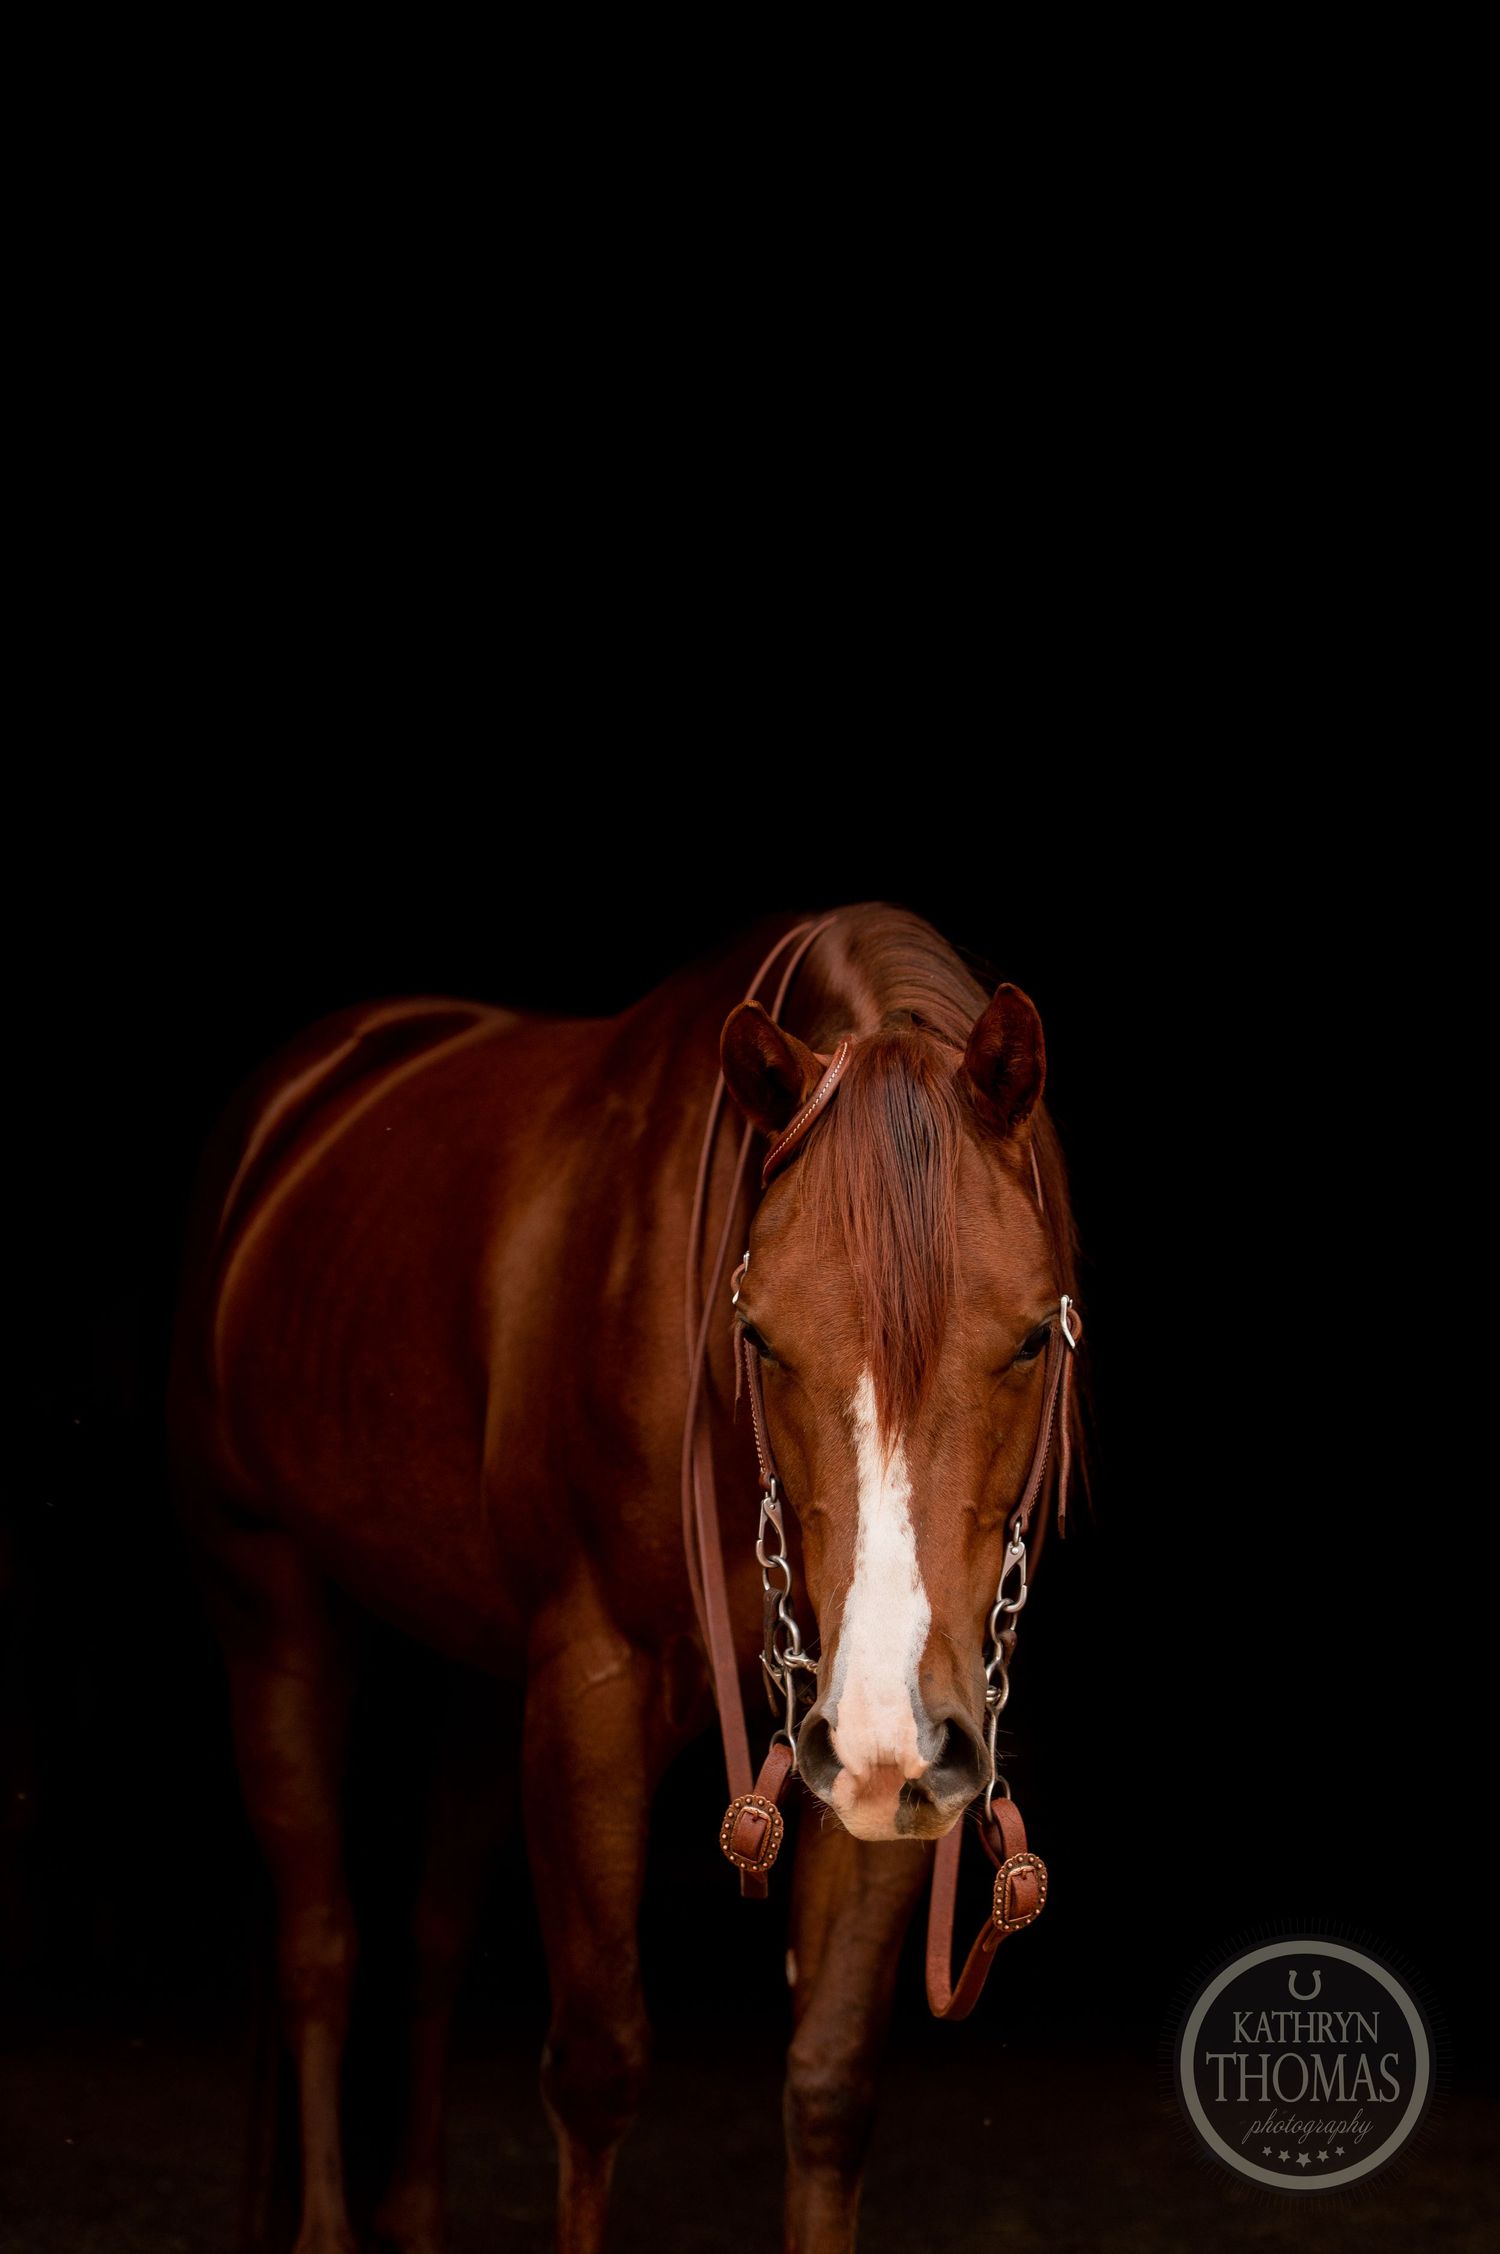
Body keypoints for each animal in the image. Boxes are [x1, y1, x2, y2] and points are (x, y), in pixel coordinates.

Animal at [167, 900, 1085, 2254]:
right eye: (758, 1332)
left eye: (1029, 1335)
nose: (884, 1728)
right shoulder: (596, 1690)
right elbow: (596, 2069)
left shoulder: (898, 1752)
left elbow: (828, 2085)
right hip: (273, 1613)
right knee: (320, 1944)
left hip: (488, 1674)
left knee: (432, 1935)